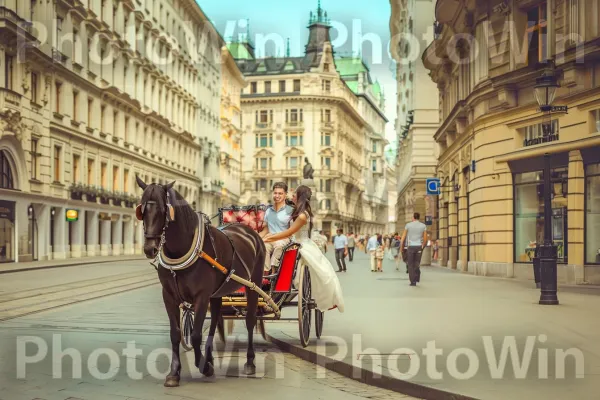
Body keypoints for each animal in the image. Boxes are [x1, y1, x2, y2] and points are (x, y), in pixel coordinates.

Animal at [137, 177, 268, 386]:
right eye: (141, 210)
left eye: (163, 210)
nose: (150, 248)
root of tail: (249, 231)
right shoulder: (169, 296)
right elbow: (176, 333)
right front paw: (174, 373)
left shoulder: (201, 296)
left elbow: (196, 334)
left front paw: (203, 367)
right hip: (216, 294)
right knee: (214, 322)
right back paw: (211, 357)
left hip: (253, 285)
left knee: (249, 320)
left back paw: (249, 362)